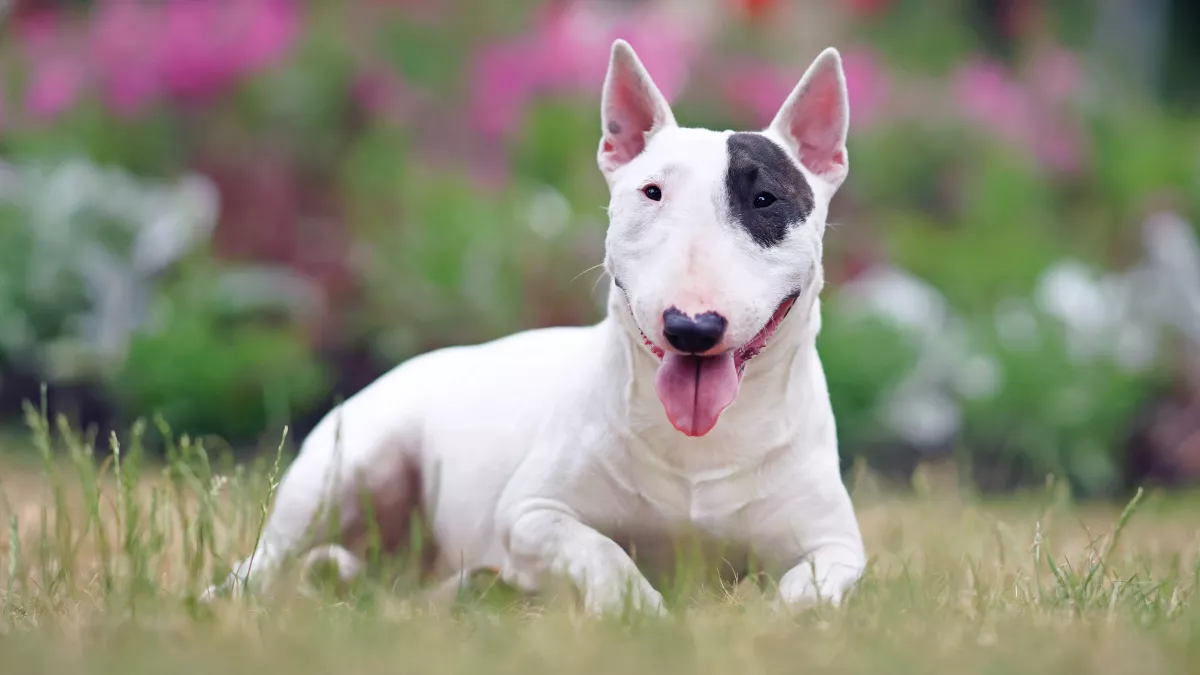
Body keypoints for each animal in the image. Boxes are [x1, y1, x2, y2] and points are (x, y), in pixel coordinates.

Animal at [206, 39, 864, 612]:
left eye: (765, 200)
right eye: (651, 192)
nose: (691, 327)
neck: (699, 448)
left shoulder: (837, 547)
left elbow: (807, 592)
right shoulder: (531, 513)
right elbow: (601, 552)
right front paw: (640, 609)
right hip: (352, 463)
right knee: (272, 555)